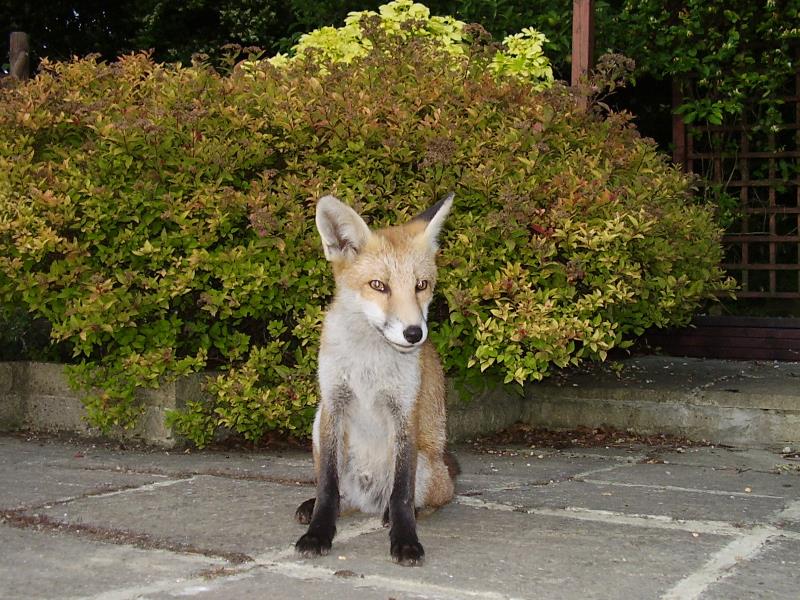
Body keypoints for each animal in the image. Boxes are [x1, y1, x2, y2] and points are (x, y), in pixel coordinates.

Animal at [294, 193, 456, 568]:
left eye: (421, 285)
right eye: (378, 285)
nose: (414, 334)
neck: (368, 363)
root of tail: (368, 500)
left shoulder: (404, 413)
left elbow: (401, 494)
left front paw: (405, 540)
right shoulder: (334, 403)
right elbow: (327, 488)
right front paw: (318, 534)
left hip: (428, 465)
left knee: (429, 499)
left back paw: (396, 514)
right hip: (317, 424)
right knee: (340, 495)